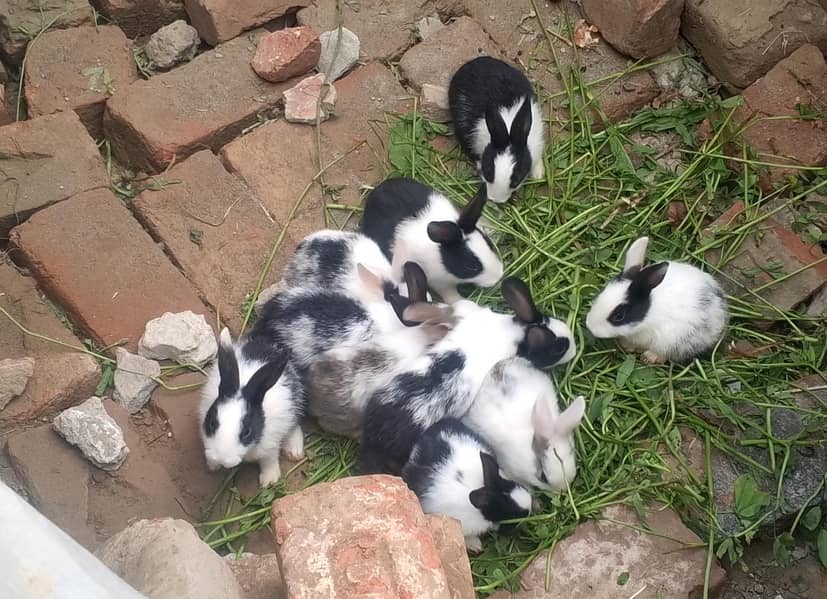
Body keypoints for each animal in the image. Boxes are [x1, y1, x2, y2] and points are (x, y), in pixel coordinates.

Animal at [199, 328, 304, 487]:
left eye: (247, 432)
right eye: (212, 423)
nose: (222, 459)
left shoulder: (270, 445)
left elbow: (269, 460)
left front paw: (269, 481)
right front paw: (212, 466)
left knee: (294, 425)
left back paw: (295, 452)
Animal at [361, 177, 503, 303]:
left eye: (490, 244)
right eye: (471, 266)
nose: (499, 276)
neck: (441, 255)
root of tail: (377, 189)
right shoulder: (440, 283)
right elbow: (449, 294)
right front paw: (460, 301)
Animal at [449, 56, 545, 203]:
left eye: (516, 179)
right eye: (488, 171)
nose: (496, 199)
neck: (509, 130)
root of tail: (477, 61)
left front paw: (538, 175)